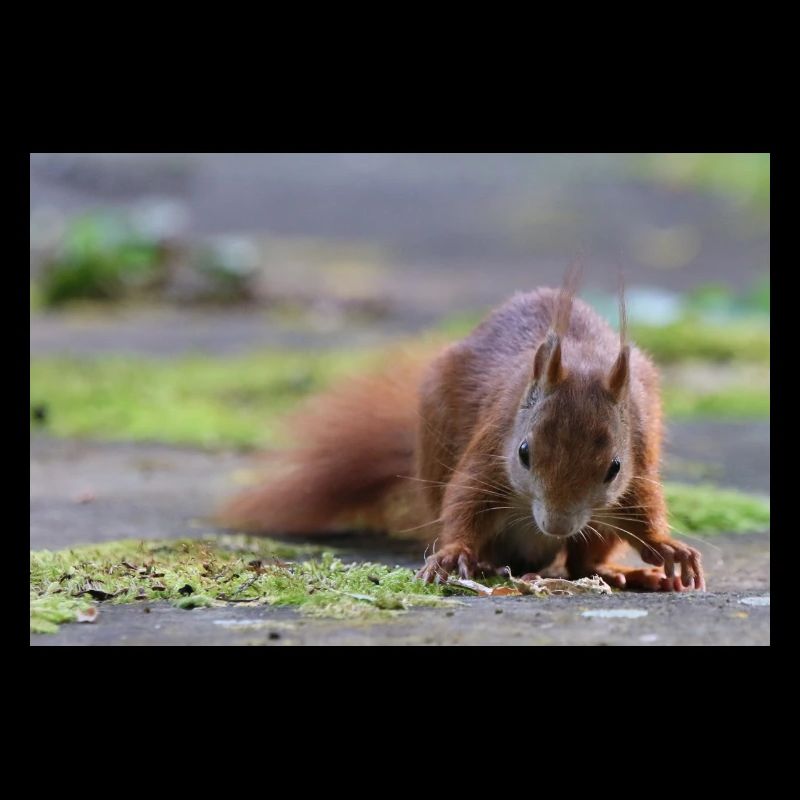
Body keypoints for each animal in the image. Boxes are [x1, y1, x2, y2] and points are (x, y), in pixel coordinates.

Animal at [220, 274, 705, 592]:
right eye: (524, 452)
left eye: (614, 468)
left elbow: (644, 507)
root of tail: (536, 550)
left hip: (598, 524)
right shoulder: (491, 448)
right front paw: (453, 553)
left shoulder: (638, 456)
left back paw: (621, 573)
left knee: (584, 560)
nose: (557, 524)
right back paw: (491, 563)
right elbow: (464, 501)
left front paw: (667, 548)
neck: (582, 361)